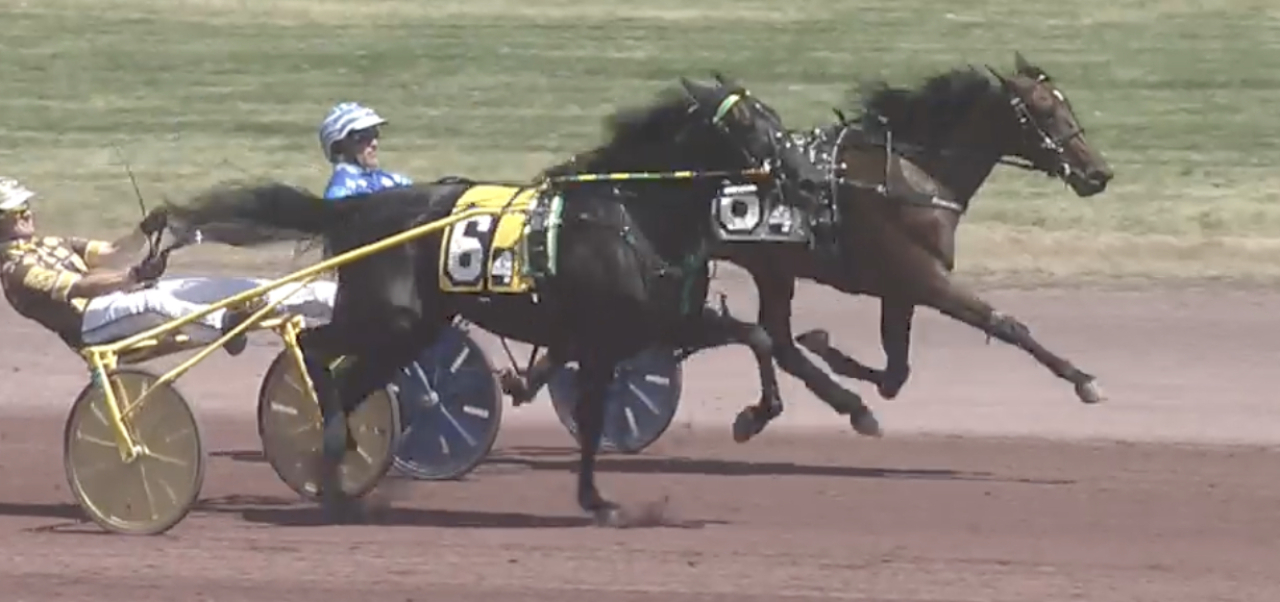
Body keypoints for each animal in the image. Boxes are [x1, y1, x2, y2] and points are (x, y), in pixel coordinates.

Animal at [164, 76, 826, 525]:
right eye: (748, 125)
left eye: (774, 116)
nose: (810, 177)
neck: (630, 213)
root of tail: (356, 209)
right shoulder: (605, 338)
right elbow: (592, 419)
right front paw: (597, 500)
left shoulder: (663, 323)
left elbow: (756, 336)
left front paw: (754, 415)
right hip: (387, 315)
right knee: (315, 350)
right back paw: (325, 449)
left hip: (413, 328)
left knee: (349, 378)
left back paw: (338, 475)